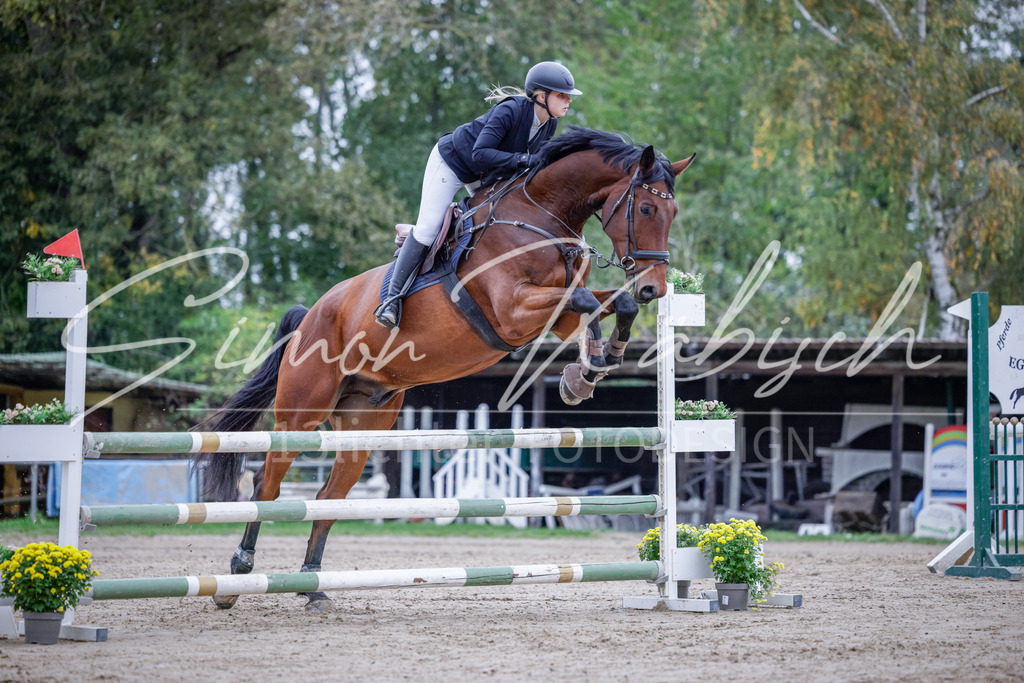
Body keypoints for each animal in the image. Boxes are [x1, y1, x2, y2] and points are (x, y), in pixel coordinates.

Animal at [191, 126, 696, 610]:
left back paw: (313, 587)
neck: (541, 218)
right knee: (267, 485)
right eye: (646, 208)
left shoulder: (556, 316)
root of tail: (311, 315)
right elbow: (589, 301)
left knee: (326, 499)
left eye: (673, 213)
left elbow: (610, 304)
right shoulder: (514, 309)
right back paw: (237, 576)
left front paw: (589, 371)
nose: (655, 288)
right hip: (302, 411)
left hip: (363, 423)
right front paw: (586, 371)